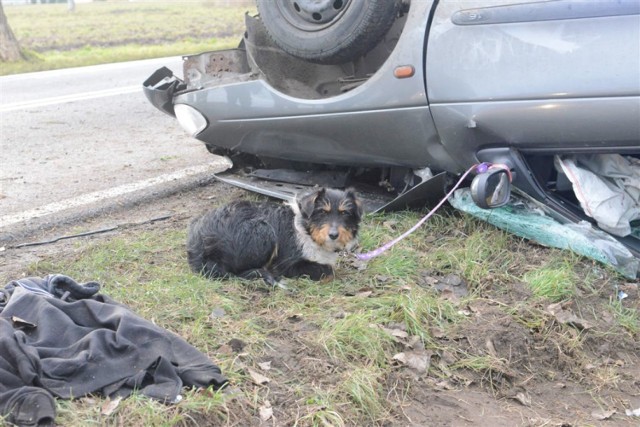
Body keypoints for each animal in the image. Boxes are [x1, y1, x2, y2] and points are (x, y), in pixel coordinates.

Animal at [188, 187, 362, 288]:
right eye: (322, 212)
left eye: (345, 213)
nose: (333, 235)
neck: (306, 230)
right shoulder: (287, 264)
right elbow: (328, 270)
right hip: (263, 230)